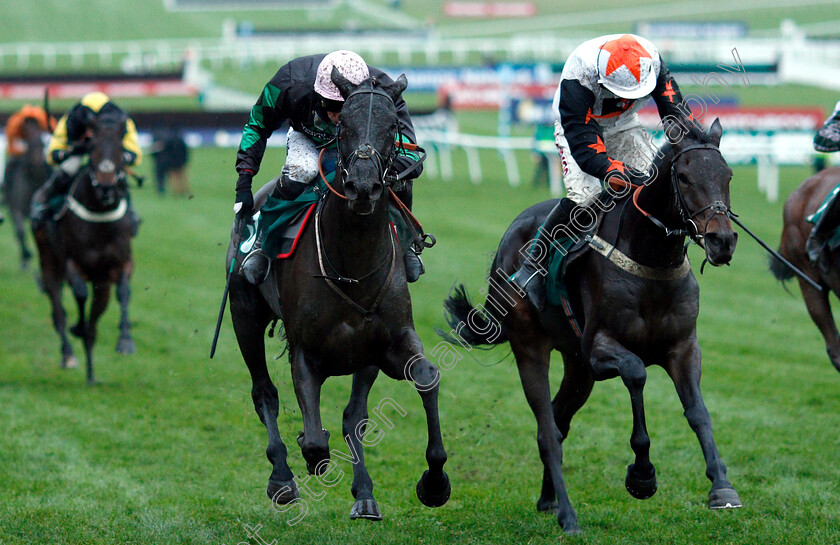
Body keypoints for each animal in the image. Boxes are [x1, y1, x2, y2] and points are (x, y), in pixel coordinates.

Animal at [5, 117, 51, 268]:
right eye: (31, 144)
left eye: (45, 143)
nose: (40, 163)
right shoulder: (16, 209)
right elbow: (20, 231)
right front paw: (26, 257)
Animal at [33, 106, 136, 382]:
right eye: (92, 146)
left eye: (120, 147)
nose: (107, 187)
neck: (100, 217)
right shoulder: (72, 262)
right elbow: (79, 293)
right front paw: (78, 328)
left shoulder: (121, 263)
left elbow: (124, 292)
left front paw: (125, 341)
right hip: (48, 258)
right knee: (58, 309)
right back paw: (69, 354)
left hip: (102, 283)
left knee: (96, 316)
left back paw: (90, 369)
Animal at [228, 68, 452, 520]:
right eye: (344, 124)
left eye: (391, 126)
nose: (363, 186)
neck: (353, 265)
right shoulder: (305, 352)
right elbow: (315, 440)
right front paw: (308, 452)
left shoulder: (388, 343)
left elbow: (424, 379)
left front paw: (434, 483)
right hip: (244, 316)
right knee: (264, 394)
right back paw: (282, 478)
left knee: (354, 416)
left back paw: (364, 493)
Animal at [442, 119, 740, 532]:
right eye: (683, 176)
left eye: (727, 175)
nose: (722, 240)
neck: (650, 258)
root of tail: (508, 241)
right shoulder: (599, 349)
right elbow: (636, 372)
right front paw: (642, 475)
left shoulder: (682, 348)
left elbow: (698, 412)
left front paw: (722, 486)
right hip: (531, 348)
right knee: (548, 429)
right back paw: (568, 515)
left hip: (576, 368)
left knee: (558, 421)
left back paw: (548, 499)